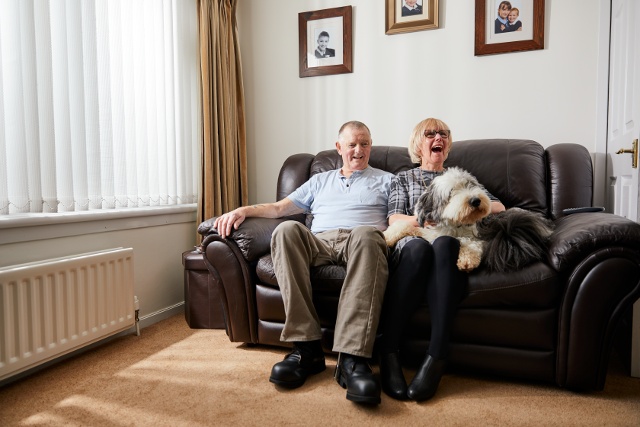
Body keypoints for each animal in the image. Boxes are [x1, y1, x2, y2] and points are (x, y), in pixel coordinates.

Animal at [384, 166, 556, 272]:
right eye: (451, 191)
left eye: (470, 184)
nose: (475, 200)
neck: (456, 225)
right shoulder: (430, 233)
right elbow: (402, 224)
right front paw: (387, 237)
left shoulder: (482, 238)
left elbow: (468, 241)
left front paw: (467, 260)